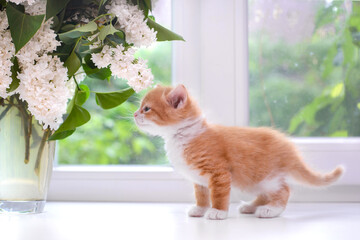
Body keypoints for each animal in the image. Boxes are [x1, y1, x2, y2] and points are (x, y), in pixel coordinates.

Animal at [134, 84, 344, 219]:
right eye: (140, 107)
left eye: (147, 109)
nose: (135, 114)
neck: (182, 136)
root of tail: (288, 146)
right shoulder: (199, 178)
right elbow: (201, 194)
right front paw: (200, 209)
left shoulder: (219, 172)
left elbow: (218, 194)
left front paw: (218, 211)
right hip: (252, 181)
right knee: (266, 193)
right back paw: (251, 206)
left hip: (265, 176)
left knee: (284, 190)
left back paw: (270, 210)